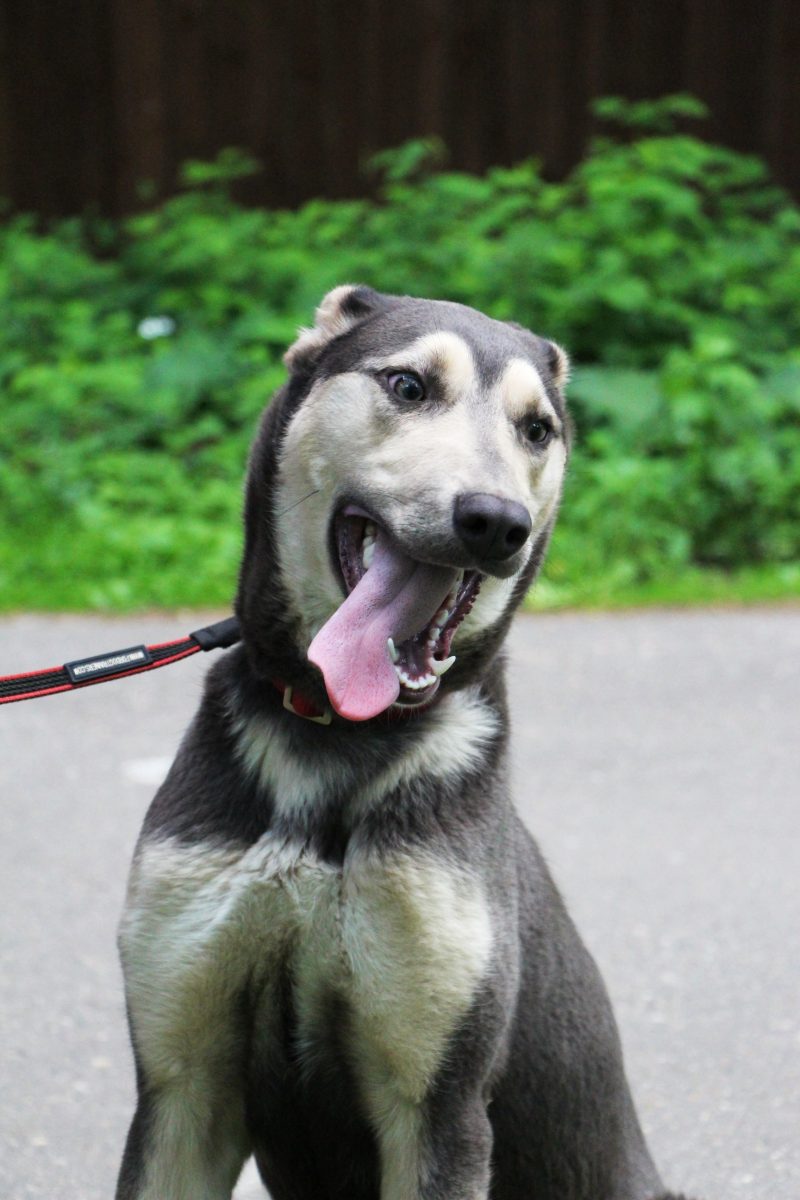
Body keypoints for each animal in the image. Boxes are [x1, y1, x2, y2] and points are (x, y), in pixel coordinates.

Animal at [116, 286, 694, 1200]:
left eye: (538, 429)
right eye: (409, 385)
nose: (495, 522)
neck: (336, 739)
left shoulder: (439, 1107)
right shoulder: (179, 1087)